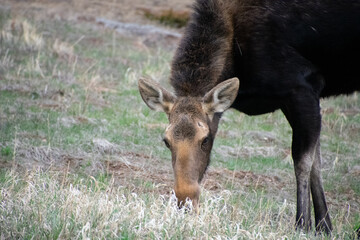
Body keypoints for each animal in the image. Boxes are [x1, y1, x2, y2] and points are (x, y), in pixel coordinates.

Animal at [136, 0, 358, 234]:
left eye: (205, 139)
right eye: (166, 141)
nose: (185, 200)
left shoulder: (303, 87)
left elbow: (303, 161)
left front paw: (302, 224)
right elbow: (316, 161)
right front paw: (325, 226)